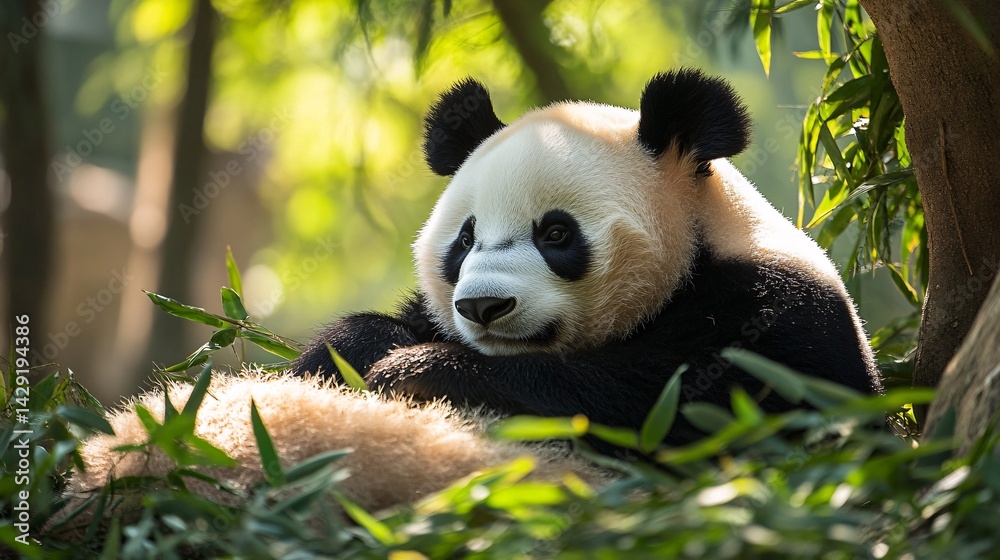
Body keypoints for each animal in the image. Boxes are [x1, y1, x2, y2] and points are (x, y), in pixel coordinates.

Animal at [293, 68, 882, 448]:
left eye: (556, 233)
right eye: (465, 240)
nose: (483, 306)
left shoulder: (775, 321)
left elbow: (674, 405)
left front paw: (420, 368)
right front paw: (362, 347)